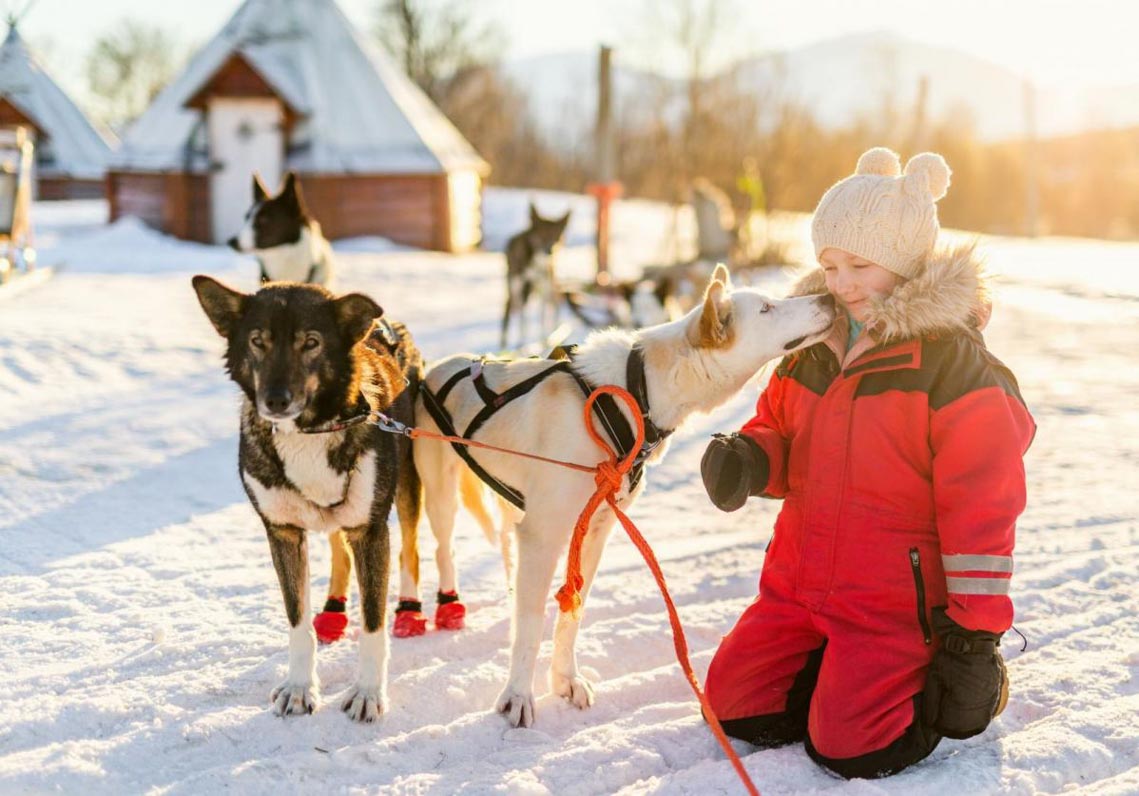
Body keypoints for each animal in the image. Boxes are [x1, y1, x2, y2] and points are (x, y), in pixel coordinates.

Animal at [191, 274, 423, 724]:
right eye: (258, 341)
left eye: (311, 342)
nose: (276, 400)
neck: (310, 431)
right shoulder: (282, 533)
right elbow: (297, 620)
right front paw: (300, 688)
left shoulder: (370, 531)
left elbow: (373, 624)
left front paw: (367, 692)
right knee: (339, 552)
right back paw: (333, 611)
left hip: (409, 487)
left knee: (413, 550)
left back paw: (410, 609)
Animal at [412, 266, 838, 728]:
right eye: (767, 308)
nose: (830, 298)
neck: (636, 393)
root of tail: (438, 366)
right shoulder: (544, 535)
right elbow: (531, 625)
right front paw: (518, 695)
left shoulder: (595, 530)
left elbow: (572, 611)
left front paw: (564, 680)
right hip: (442, 498)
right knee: (445, 550)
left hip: (512, 507)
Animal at [501, 202, 569, 348]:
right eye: (541, 233)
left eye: (556, 235)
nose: (550, 250)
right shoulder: (522, 287)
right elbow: (524, 319)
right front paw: (521, 343)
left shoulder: (544, 287)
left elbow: (542, 317)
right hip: (516, 287)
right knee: (512, 309)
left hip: (544, 289)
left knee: (552, 306)